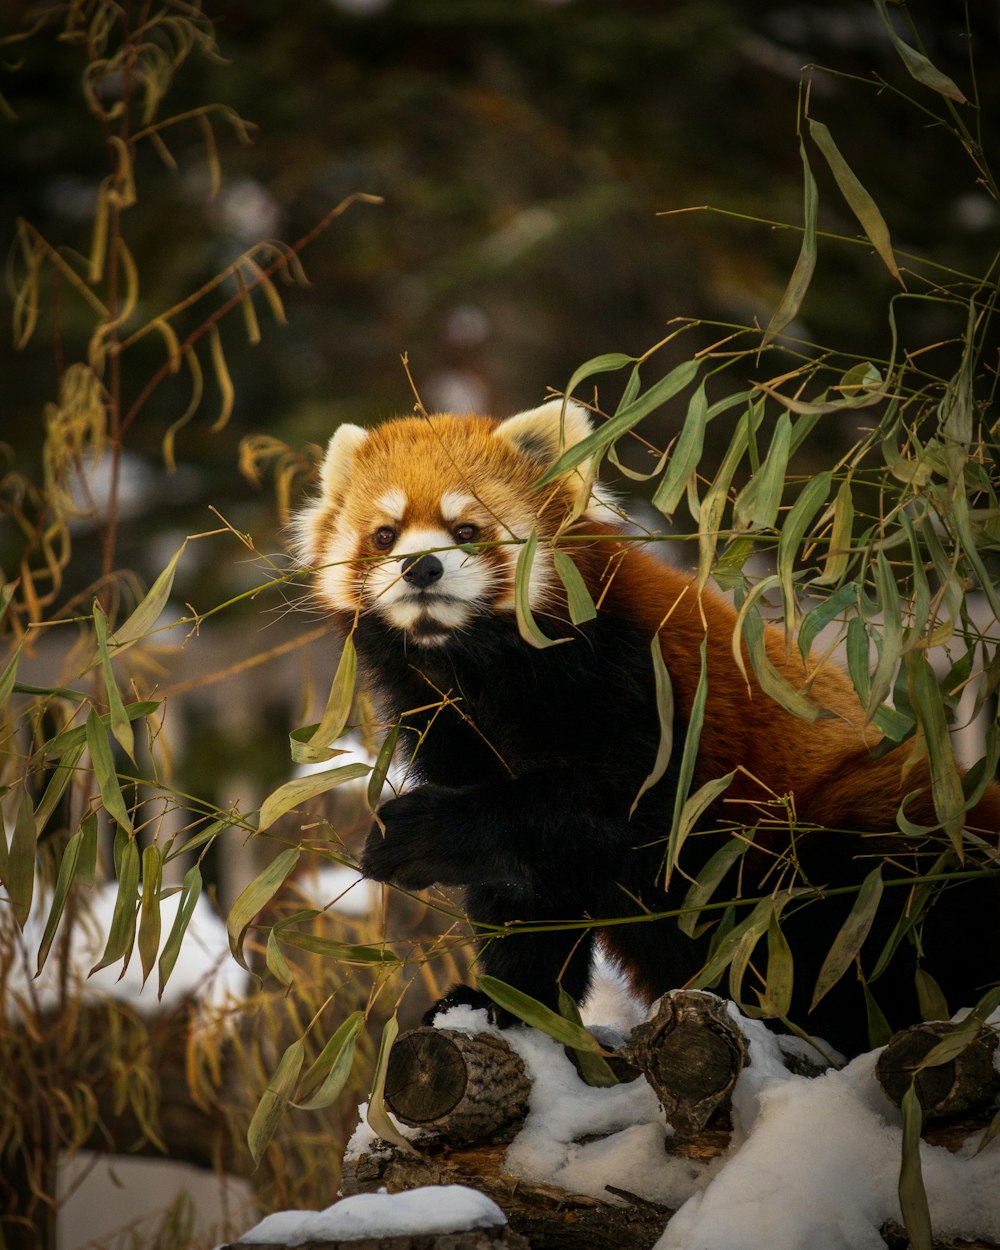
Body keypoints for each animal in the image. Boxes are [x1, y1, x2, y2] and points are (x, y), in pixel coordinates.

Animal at [295, 402, 1000, 1055]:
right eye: (385, 535)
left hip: (852, 842)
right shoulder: (451, 725)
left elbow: (611, 810)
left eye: (466, 529)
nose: (421, 568)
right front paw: (507, 1002)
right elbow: (529, 894)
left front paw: (415, 833)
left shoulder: (641, 684)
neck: (477, 664)